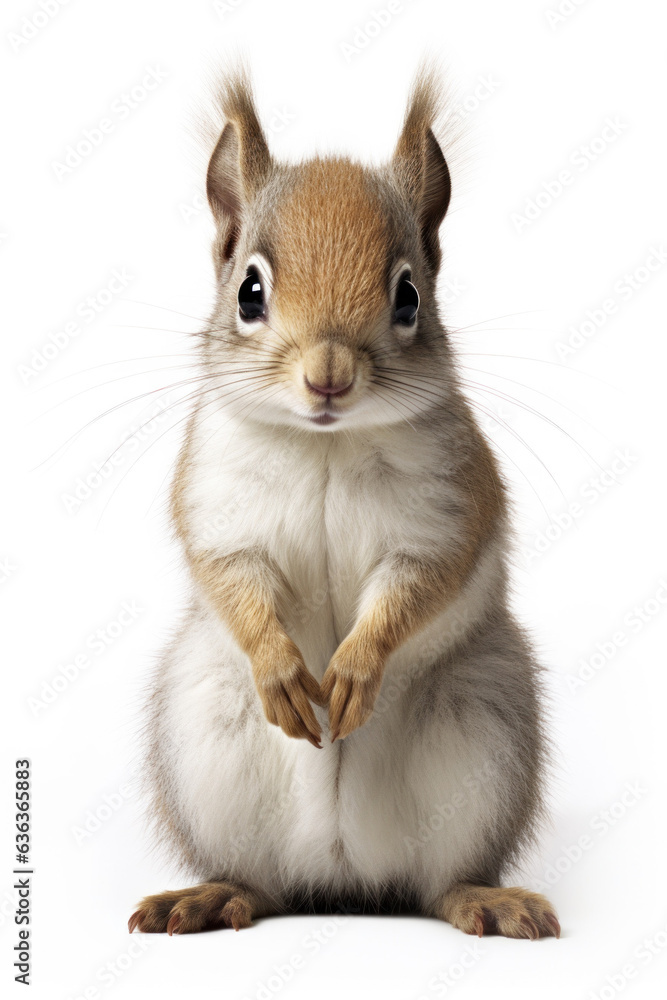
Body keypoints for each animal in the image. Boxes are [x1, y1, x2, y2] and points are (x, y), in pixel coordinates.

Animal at [129, 67, 559, 941]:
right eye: (248, 291)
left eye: (408, 296)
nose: (327, 376)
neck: (324, 443)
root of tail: (343, 881)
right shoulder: (218, 505)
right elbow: (231, 578)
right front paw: (282, 668)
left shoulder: (445, 510)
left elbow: (418, 585)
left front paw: (356, 668)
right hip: (203, 739)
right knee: (261, 882)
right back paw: (214, 895)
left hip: (483, 732)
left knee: (438, 880)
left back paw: (481, 898)